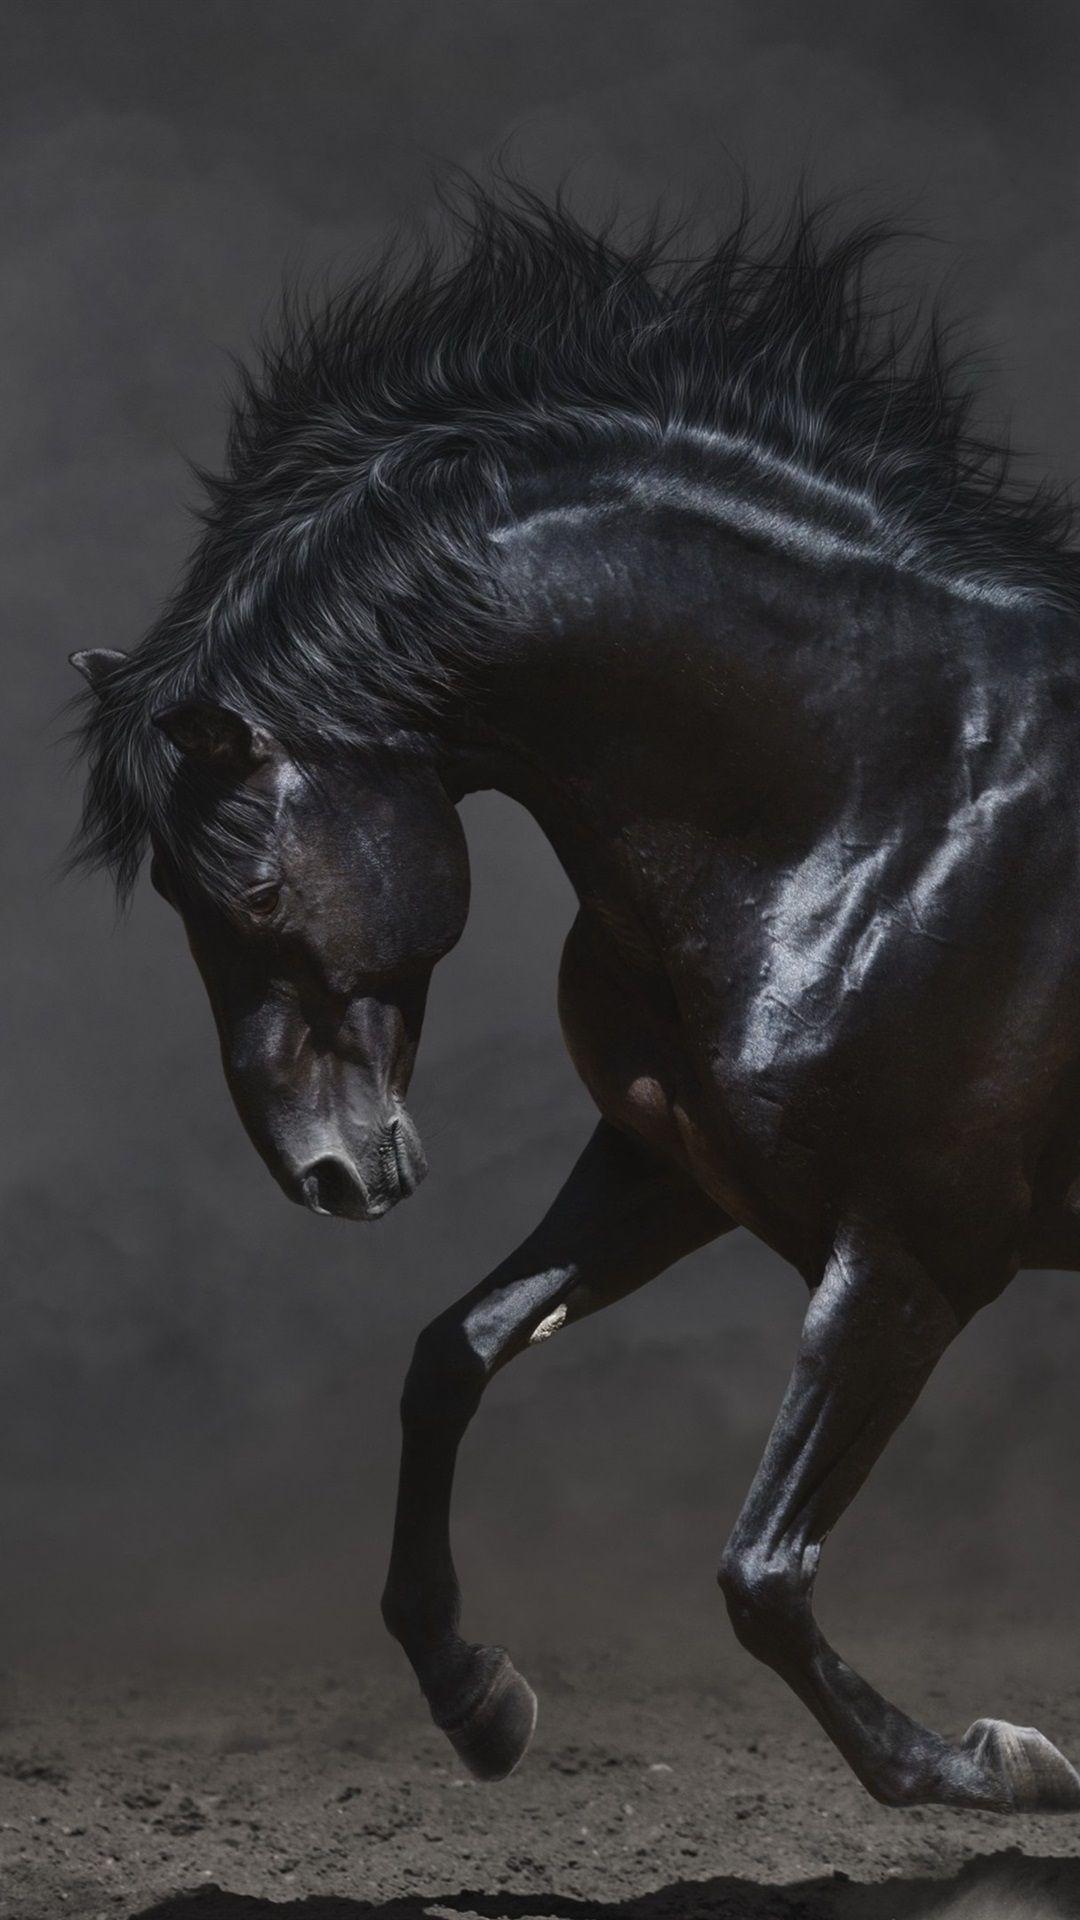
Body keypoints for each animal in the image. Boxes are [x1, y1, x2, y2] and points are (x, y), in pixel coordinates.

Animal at [70, 183, 1080, 1815]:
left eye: (254, 893)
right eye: (170, 897)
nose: (325, 1174)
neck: (896, 791)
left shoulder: (913, 1253)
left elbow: (763, 1574)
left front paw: (996, 1768)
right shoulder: (675, 1169)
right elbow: (454, 1356)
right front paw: (476, 1697)